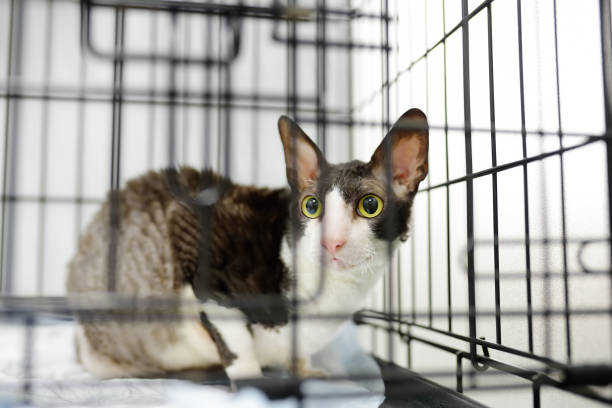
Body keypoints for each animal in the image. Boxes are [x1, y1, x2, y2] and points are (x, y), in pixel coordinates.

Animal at [65, 107, 430, 382]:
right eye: (312, 206)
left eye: (370, 205)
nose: (332, 243)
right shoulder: (190, 229)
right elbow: (239, 347)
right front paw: (254, 385)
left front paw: (305, 372)